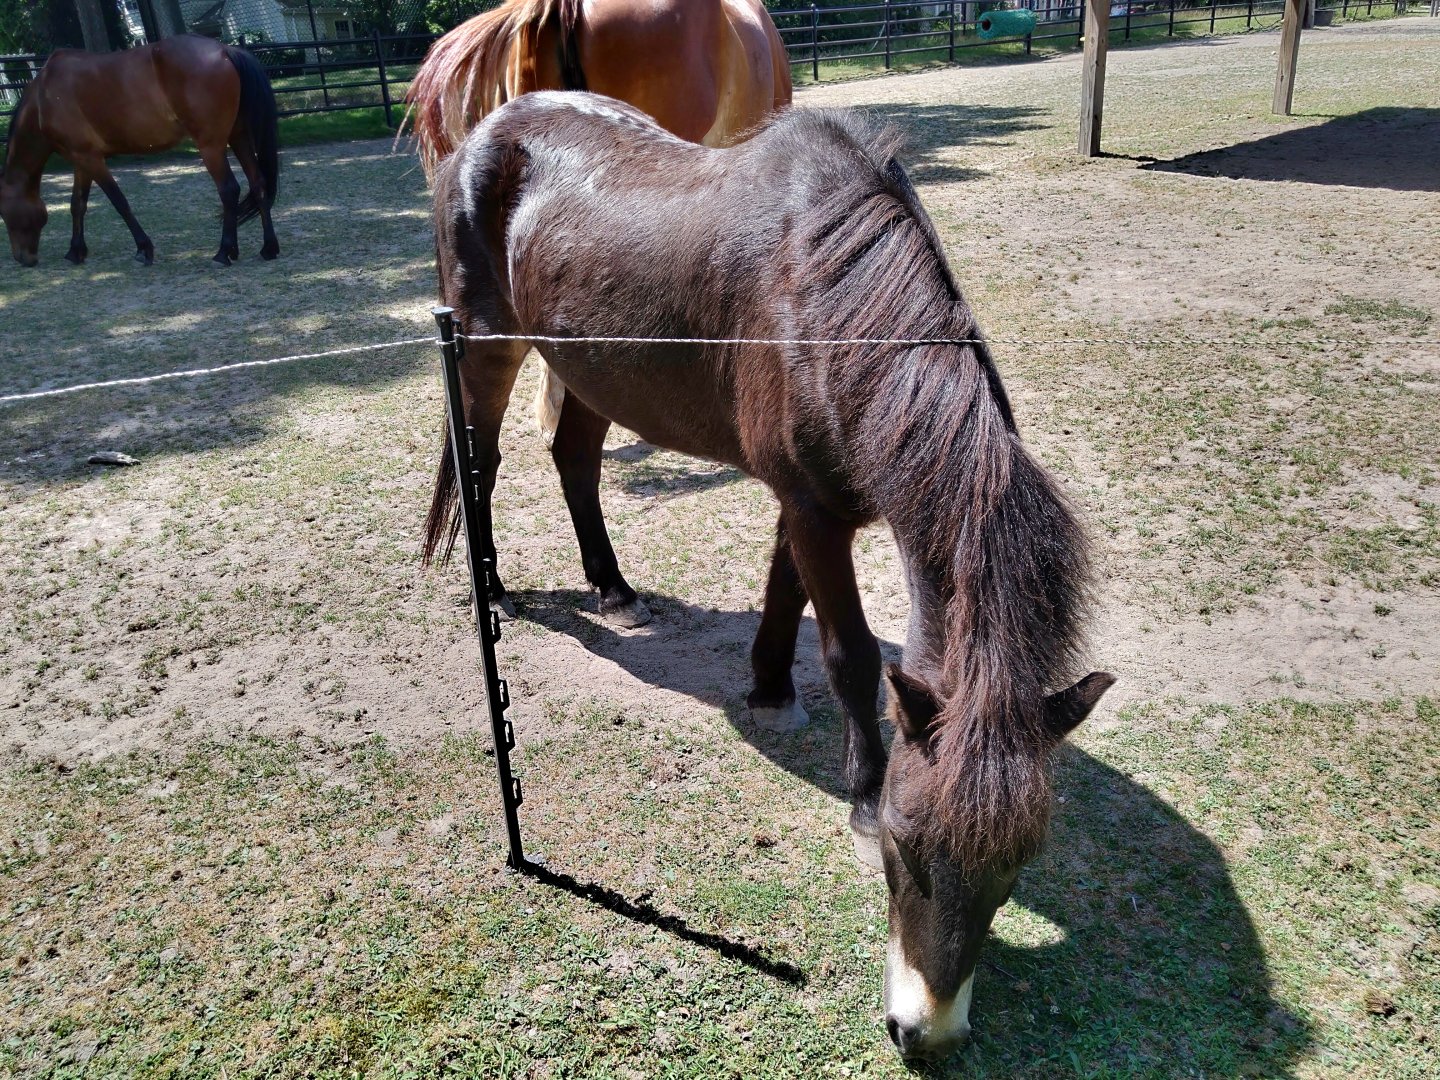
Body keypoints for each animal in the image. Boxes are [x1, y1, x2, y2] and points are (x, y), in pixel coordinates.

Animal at [0, 34, 279, 268]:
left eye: (4, 213)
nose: (23, 258)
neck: (43, 99)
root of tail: (224, 50)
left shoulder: (91, 159)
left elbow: (119, 202)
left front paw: (144, 249)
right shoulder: (80, 160)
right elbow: (77, 204)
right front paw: (75, 251)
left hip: (211, 146)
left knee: (229, 190)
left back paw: (223, 252)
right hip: (239, 137)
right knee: (258, 183)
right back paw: (268, 248)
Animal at [424, 92, 1113, 1062]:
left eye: (1016, 870)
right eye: (903, 847)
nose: (926, 1033)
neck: (822, 302)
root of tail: (485, 131)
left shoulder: (807, 498)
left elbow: (787, 593)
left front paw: (767, 684)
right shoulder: (814, 508)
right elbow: (851, 653)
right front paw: (856, 785)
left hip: (585, 365)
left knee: (573, 459)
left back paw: (614, 589)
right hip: (486, 351)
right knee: (480, 466)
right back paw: (497, 591)